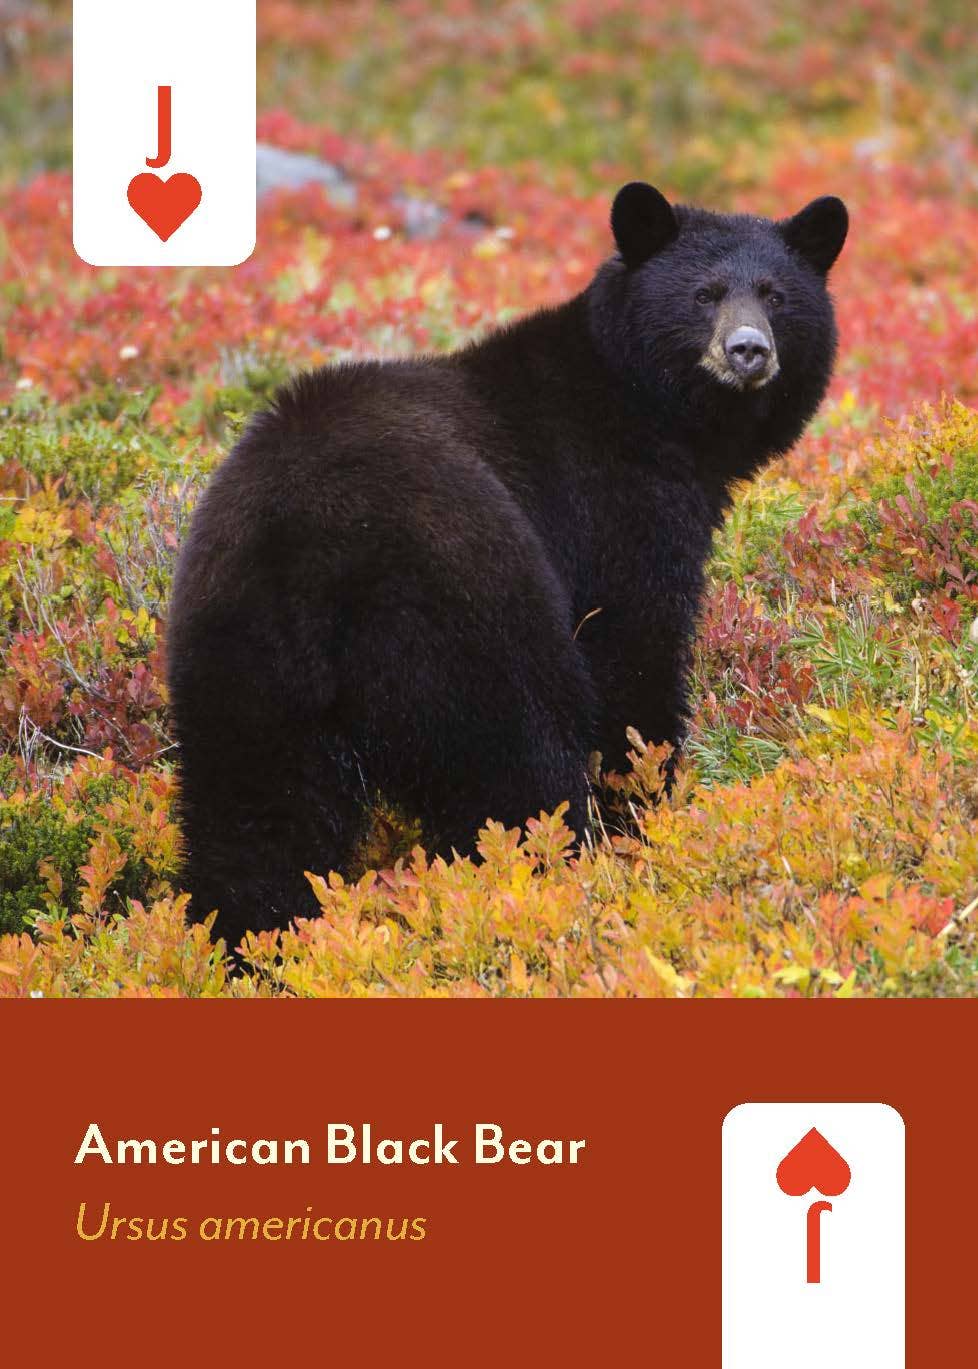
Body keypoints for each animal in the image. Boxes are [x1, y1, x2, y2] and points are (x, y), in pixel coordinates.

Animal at [166, 181, 848, 949]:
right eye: (703, 294)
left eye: (776, 295)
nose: (747, 350)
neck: (646, 408)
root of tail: (302, 552)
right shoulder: (613, 505)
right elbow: (633, 650)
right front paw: (648, 800)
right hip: (464, 618)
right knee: (518, 769)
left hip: (237, 663)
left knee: (255, 821)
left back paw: (251, 942)